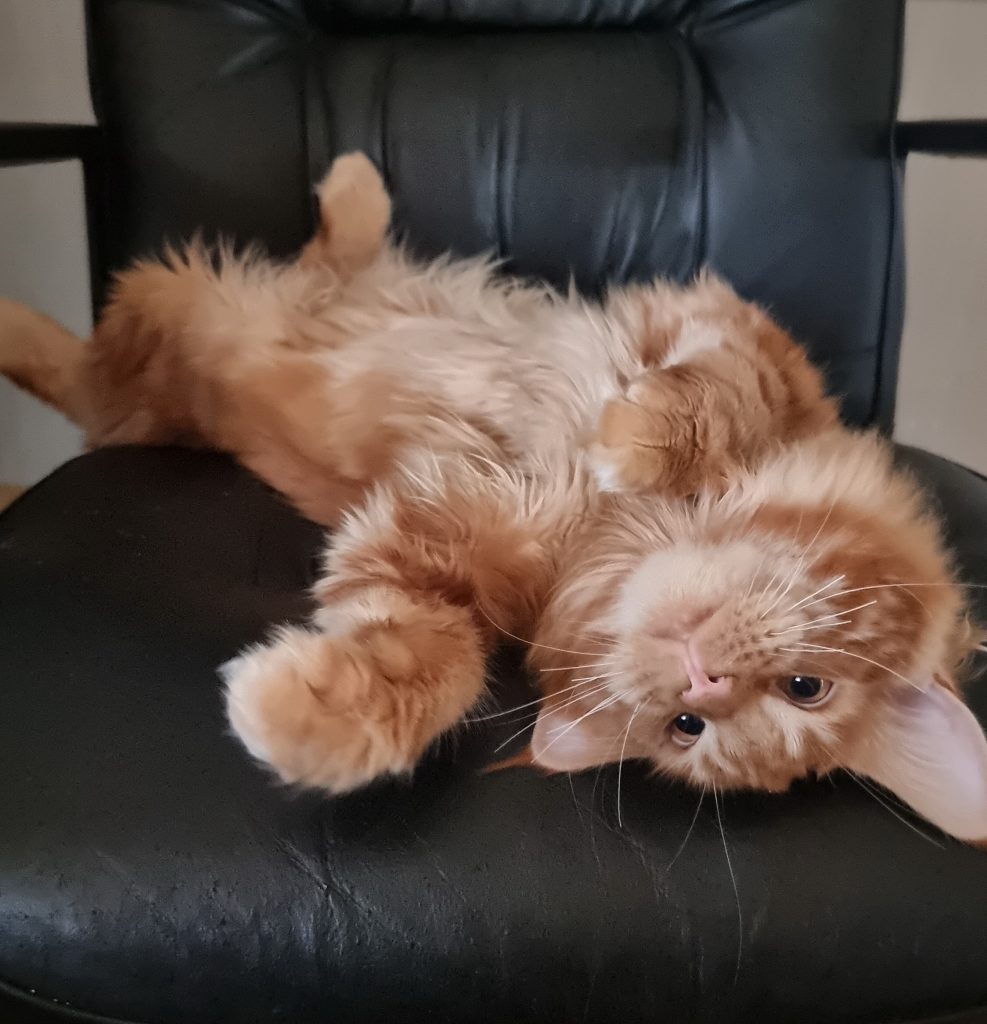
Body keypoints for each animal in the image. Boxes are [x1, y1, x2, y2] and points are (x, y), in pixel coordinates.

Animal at [2, 153, 986, 845]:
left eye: (685, 730)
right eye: (807, 687)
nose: (702, 679)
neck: (609, 529)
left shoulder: (435, 540)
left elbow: (436, 660)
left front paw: (310, 719)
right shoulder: (752, 346)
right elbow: (706, 397)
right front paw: (631, 440)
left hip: (153, 352)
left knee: (98, 370)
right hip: (165, 335)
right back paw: (354, 181)